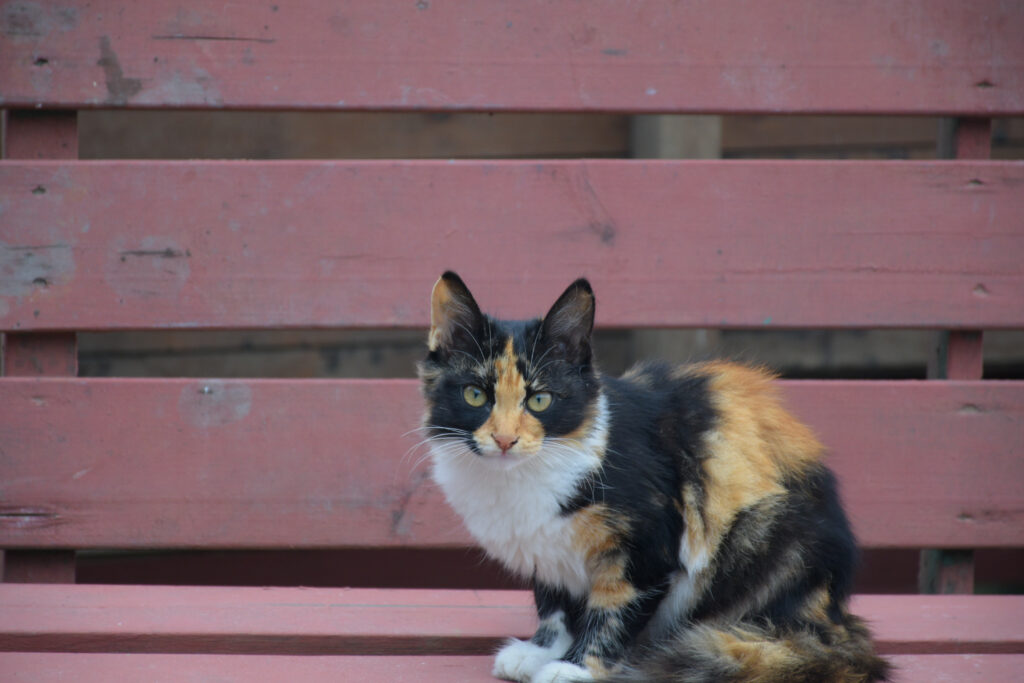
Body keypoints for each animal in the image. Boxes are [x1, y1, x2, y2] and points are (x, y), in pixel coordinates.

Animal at [415, 274, 888, 683]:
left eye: (540, 400)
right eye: (475, 394)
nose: (504, 439)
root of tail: (834, 615)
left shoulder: (648, 548)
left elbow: (613, 611)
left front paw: (573, 668)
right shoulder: (547, 553)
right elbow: (554, 605)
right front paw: (540, 650)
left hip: (764, 540)